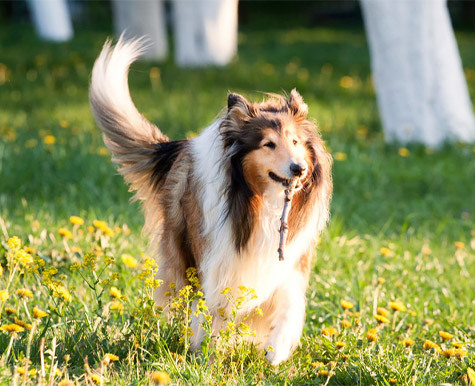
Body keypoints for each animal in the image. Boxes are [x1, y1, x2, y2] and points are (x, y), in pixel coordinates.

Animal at [90, 37, 334, 366]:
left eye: (295, 141)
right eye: (268, 144)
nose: (299, 169)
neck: (260, 202)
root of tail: (179, 147)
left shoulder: (288, 264)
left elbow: (287, 307)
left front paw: (275, 353)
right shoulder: (218, 259)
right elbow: (213, 309)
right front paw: (206, 353)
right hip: (183, 249)